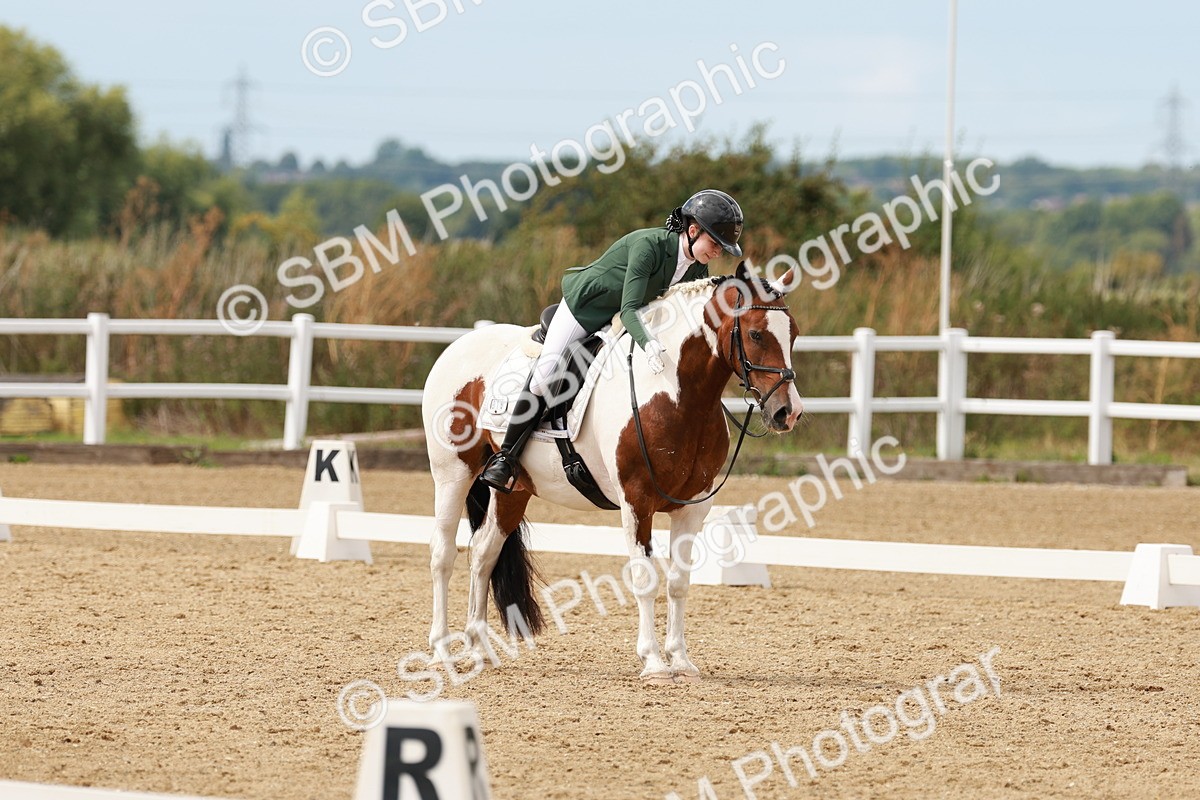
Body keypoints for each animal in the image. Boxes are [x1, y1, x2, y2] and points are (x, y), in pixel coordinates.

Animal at [420, 262, 804, 682]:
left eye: (794, 333)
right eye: (755, 333)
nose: (788, 413)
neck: (677, 392)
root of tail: (458, 346)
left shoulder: (693, 507)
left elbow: (678, 582)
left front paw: (681, 661)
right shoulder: (637, 500)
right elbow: (644, 578)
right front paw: (653, 663)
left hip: (514, 488)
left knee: (484, 552)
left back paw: (480, 649)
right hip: (452, 473)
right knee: (443, 554)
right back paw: (441, 651)